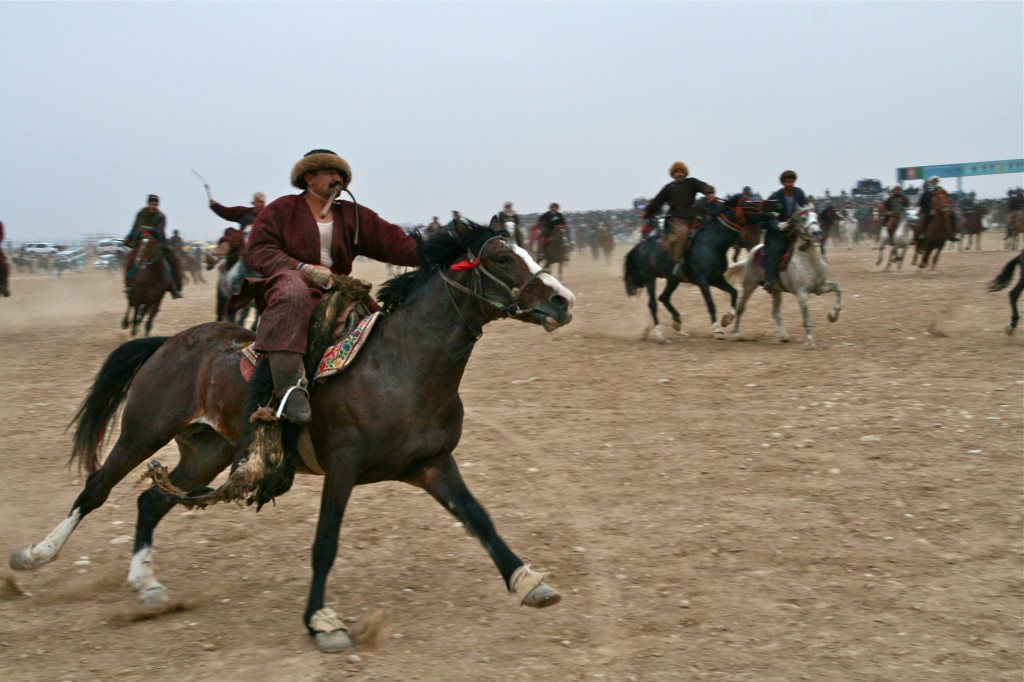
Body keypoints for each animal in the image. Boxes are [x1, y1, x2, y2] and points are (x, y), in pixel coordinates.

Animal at [9, 218, 577, 655]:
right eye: (501, 257)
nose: (563, 299)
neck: (400, 368)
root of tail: (169, 343)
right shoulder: (343, 469)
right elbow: (325, 544)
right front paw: (322, 623)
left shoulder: (432, 465)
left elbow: (481, 520)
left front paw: (529, 583)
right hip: (142, 432)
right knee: (96, 489)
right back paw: (35, 556)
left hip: (208, 452)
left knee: (151, 501)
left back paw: (147, 585)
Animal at [618, 196, 778, 342]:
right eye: (750, 204)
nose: (774, 205)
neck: (711, 243)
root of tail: (641, 245)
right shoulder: (703, 281)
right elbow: (710, 304)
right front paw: (717, 330)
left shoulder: (716, 278)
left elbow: (733, 292)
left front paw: (727, 319)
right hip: (649, 277)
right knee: (652, 304)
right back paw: (660, 335)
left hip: (672, 279)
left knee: (664, 297)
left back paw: (678, 324)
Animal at [729, 205, 839, 346]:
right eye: (803, 218)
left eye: (817, 217)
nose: (817, 233)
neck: (809, 261)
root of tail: (754, 251)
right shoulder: (802, 293)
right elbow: (806, 317)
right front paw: (809, 341)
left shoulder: (820, 287)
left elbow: (838, 288)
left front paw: (833, 316)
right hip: (749, 284)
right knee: (741, 308)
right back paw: (736, 334)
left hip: (776, 290)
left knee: (775, 312)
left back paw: (784, 336)